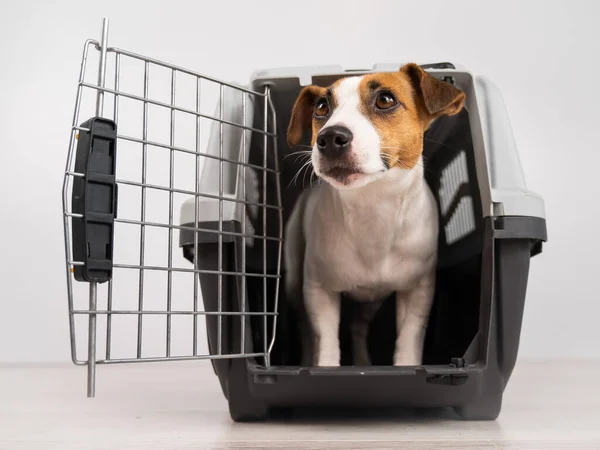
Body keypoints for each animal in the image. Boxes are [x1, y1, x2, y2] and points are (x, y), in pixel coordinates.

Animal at [284, 63, 466, 366]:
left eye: (385, 100)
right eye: (321, 107)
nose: (330, 138)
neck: (373, 208)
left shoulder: (416, 293)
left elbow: (408, 342)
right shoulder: (319, 291)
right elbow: (326, 343)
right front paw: (324, 367)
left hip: (373, 298)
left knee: (358, 326)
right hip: (295, 281)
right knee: (305, 329)